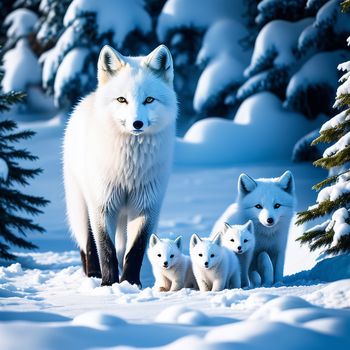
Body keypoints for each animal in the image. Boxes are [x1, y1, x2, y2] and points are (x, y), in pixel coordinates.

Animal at [63, 43, 176, 286]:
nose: (137, 123)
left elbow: (135, 250)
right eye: (122, 100)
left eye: (149, 100)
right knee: (88, 243)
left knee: (122, 247)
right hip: (83, 204)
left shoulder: (146, 205)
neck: (129, 168)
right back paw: (92, 273)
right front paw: (109, 284)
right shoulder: (103, 204)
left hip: (124, 214)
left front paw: (130, 283)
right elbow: (105, 248)